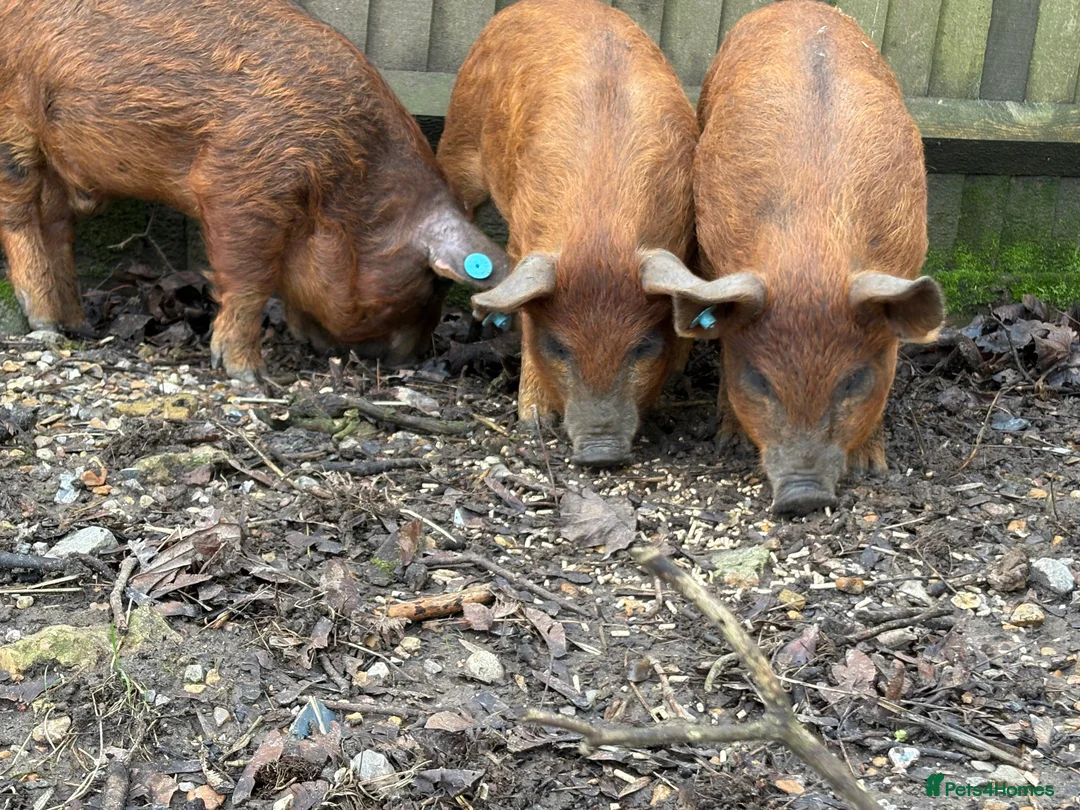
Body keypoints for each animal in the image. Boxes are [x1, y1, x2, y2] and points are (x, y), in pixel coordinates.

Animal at [0, 0, 508, 382]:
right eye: (434, 283)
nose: (420, 358)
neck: (345, 187)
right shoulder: (240, 179)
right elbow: (251, 279)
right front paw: (249, 376)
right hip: (13, 121)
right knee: (18, 214)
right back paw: (44, 324)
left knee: (56, 225)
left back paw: (77, 324)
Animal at [436, 0, 704, 467]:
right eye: (559, 347)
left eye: (643, 346)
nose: (601, 453)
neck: (601, 232)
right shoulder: (523, 242)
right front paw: (533, 422)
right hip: (460, 139)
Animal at [648, 0, 946, 515]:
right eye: (759, 380)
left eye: (853, 381)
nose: (801, 496)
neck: (812, 254)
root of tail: (798, 6)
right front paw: (728, 442)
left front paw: (874, 468)